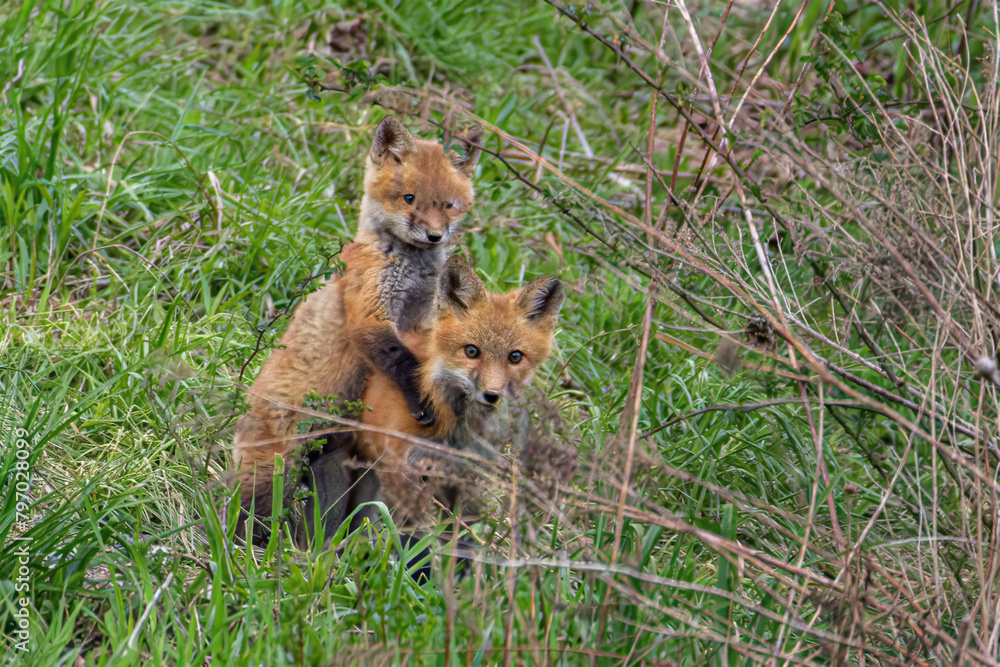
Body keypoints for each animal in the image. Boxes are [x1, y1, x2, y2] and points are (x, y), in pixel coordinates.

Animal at [232, 115, 482, 536]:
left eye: (450, 205)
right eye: (409, 199)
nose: (434, 235)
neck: (410, 270)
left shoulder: (422, 321)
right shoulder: (371, 315)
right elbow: (402, 362)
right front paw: (424, 403)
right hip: (274, 474)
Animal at [301, 249, 564, 541]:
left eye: (515, 357)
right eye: (471, 351)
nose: (492, 396)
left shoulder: (466, 473)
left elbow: (461, 538)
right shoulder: (403, 466)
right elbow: (411, 538)